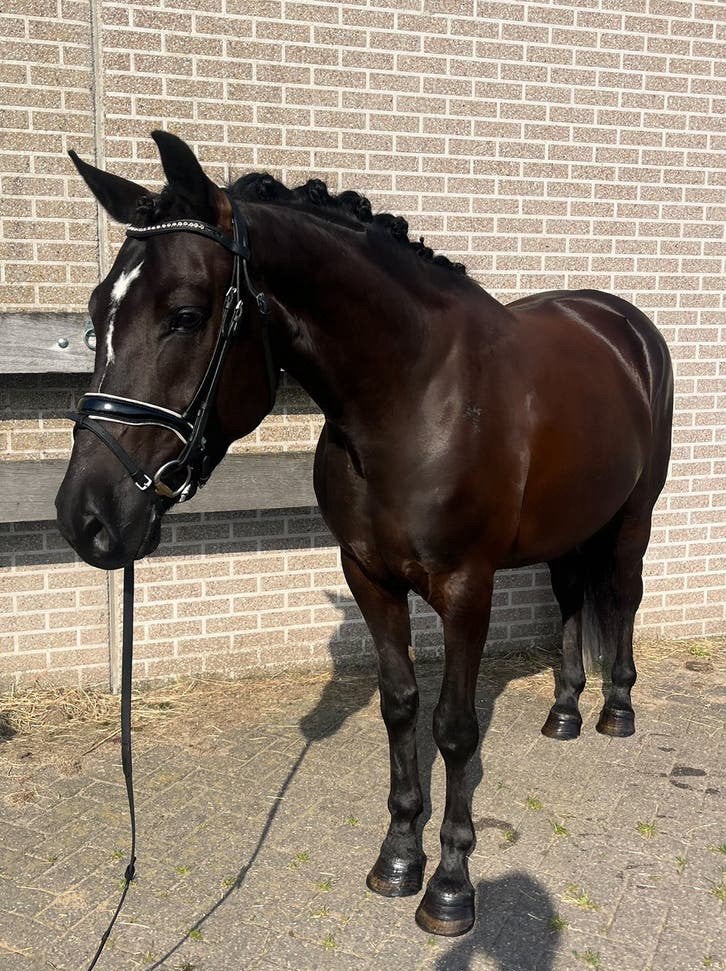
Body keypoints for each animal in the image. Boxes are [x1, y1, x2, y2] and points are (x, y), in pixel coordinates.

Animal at [55, 131, 673, 938]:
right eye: (98, 311)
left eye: (186, 314)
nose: (87, 516)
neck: (413, 398)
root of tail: (623, 324)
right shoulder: (368, 576)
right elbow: (400, 705)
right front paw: (399, 858)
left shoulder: (467, 590)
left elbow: (453, 727)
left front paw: (449, 885)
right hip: (569, 523)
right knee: (573, 598)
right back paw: (564, 712)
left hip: (634, 515)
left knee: (622, 596)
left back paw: (616, 710)